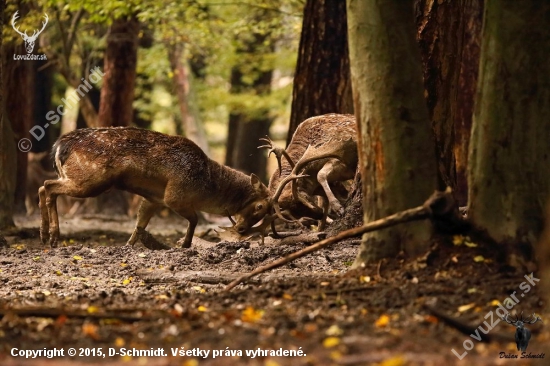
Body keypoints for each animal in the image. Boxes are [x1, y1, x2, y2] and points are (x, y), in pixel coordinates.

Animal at [38, 126, 272, 249]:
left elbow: (140, 224)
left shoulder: (153, 198)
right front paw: (185, 245)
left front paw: (128, 246)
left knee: (43, 187)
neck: (207, 186)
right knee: (48, 186)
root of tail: (60, 145)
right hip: (90, 180)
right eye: (260, 206)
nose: (242, 230)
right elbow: (195, 219)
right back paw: (53, 237)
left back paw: (44, 235)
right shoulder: (175, 195)